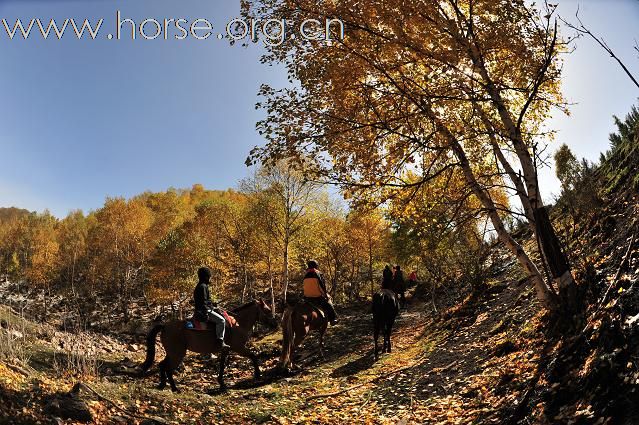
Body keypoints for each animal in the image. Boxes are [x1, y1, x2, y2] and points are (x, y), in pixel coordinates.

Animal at [140, 298, 278, 390]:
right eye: (267, 310)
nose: (275, 324)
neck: (238, 323)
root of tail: (165, 326)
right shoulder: (238, 347)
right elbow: (253, 356)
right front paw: (258, 374)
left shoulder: (226, 350)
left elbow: (222, 365)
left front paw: (222, 383)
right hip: (177, 353)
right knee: (167, 368)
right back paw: (174, 388)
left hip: (172, 353)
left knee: (162, 365)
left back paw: (162, 385)